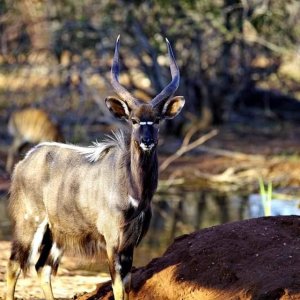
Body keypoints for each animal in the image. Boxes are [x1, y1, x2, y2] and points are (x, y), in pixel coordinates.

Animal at [6, 35, 185, 300]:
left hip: (55, 234)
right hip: (29, 223)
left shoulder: (130, 244)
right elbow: (118, 287)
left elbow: (127, 286)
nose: (147, 141)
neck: (133, 192)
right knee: (14, 265)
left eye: (157, 120)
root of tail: (24, 161)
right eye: (134, 120)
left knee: (42, 268)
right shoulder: (113, 241)